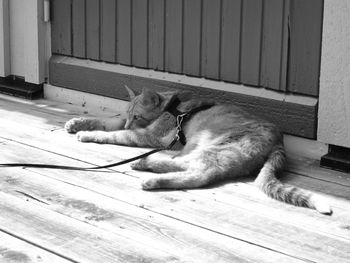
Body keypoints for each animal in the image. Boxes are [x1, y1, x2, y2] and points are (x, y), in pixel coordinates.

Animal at [65, 87, 330, 216]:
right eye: (129, 115)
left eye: (137, 116)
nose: (131, 123)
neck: (172, 108)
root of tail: (279, 141)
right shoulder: (127, 125)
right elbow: (106, 122)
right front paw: (77, 123)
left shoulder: (148, 135)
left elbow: (114, 134)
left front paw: (87, 134)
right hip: (203, 148)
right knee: (187, 166)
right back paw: (147, 165)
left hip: (216, 147)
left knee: (200, 174)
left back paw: (149, 173)